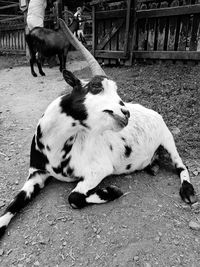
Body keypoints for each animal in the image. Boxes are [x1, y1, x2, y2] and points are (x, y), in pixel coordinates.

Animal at [0, 19, 197, 239]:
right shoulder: (36, 174)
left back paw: (188, 192)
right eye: (95, 87)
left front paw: (111, 191)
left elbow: (74, 197)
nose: (125, 113)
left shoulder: (99, 169)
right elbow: (12, 205)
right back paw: (152, 166)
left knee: (181, 166)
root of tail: (151, 110)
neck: (55, 148)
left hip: (168, 139)